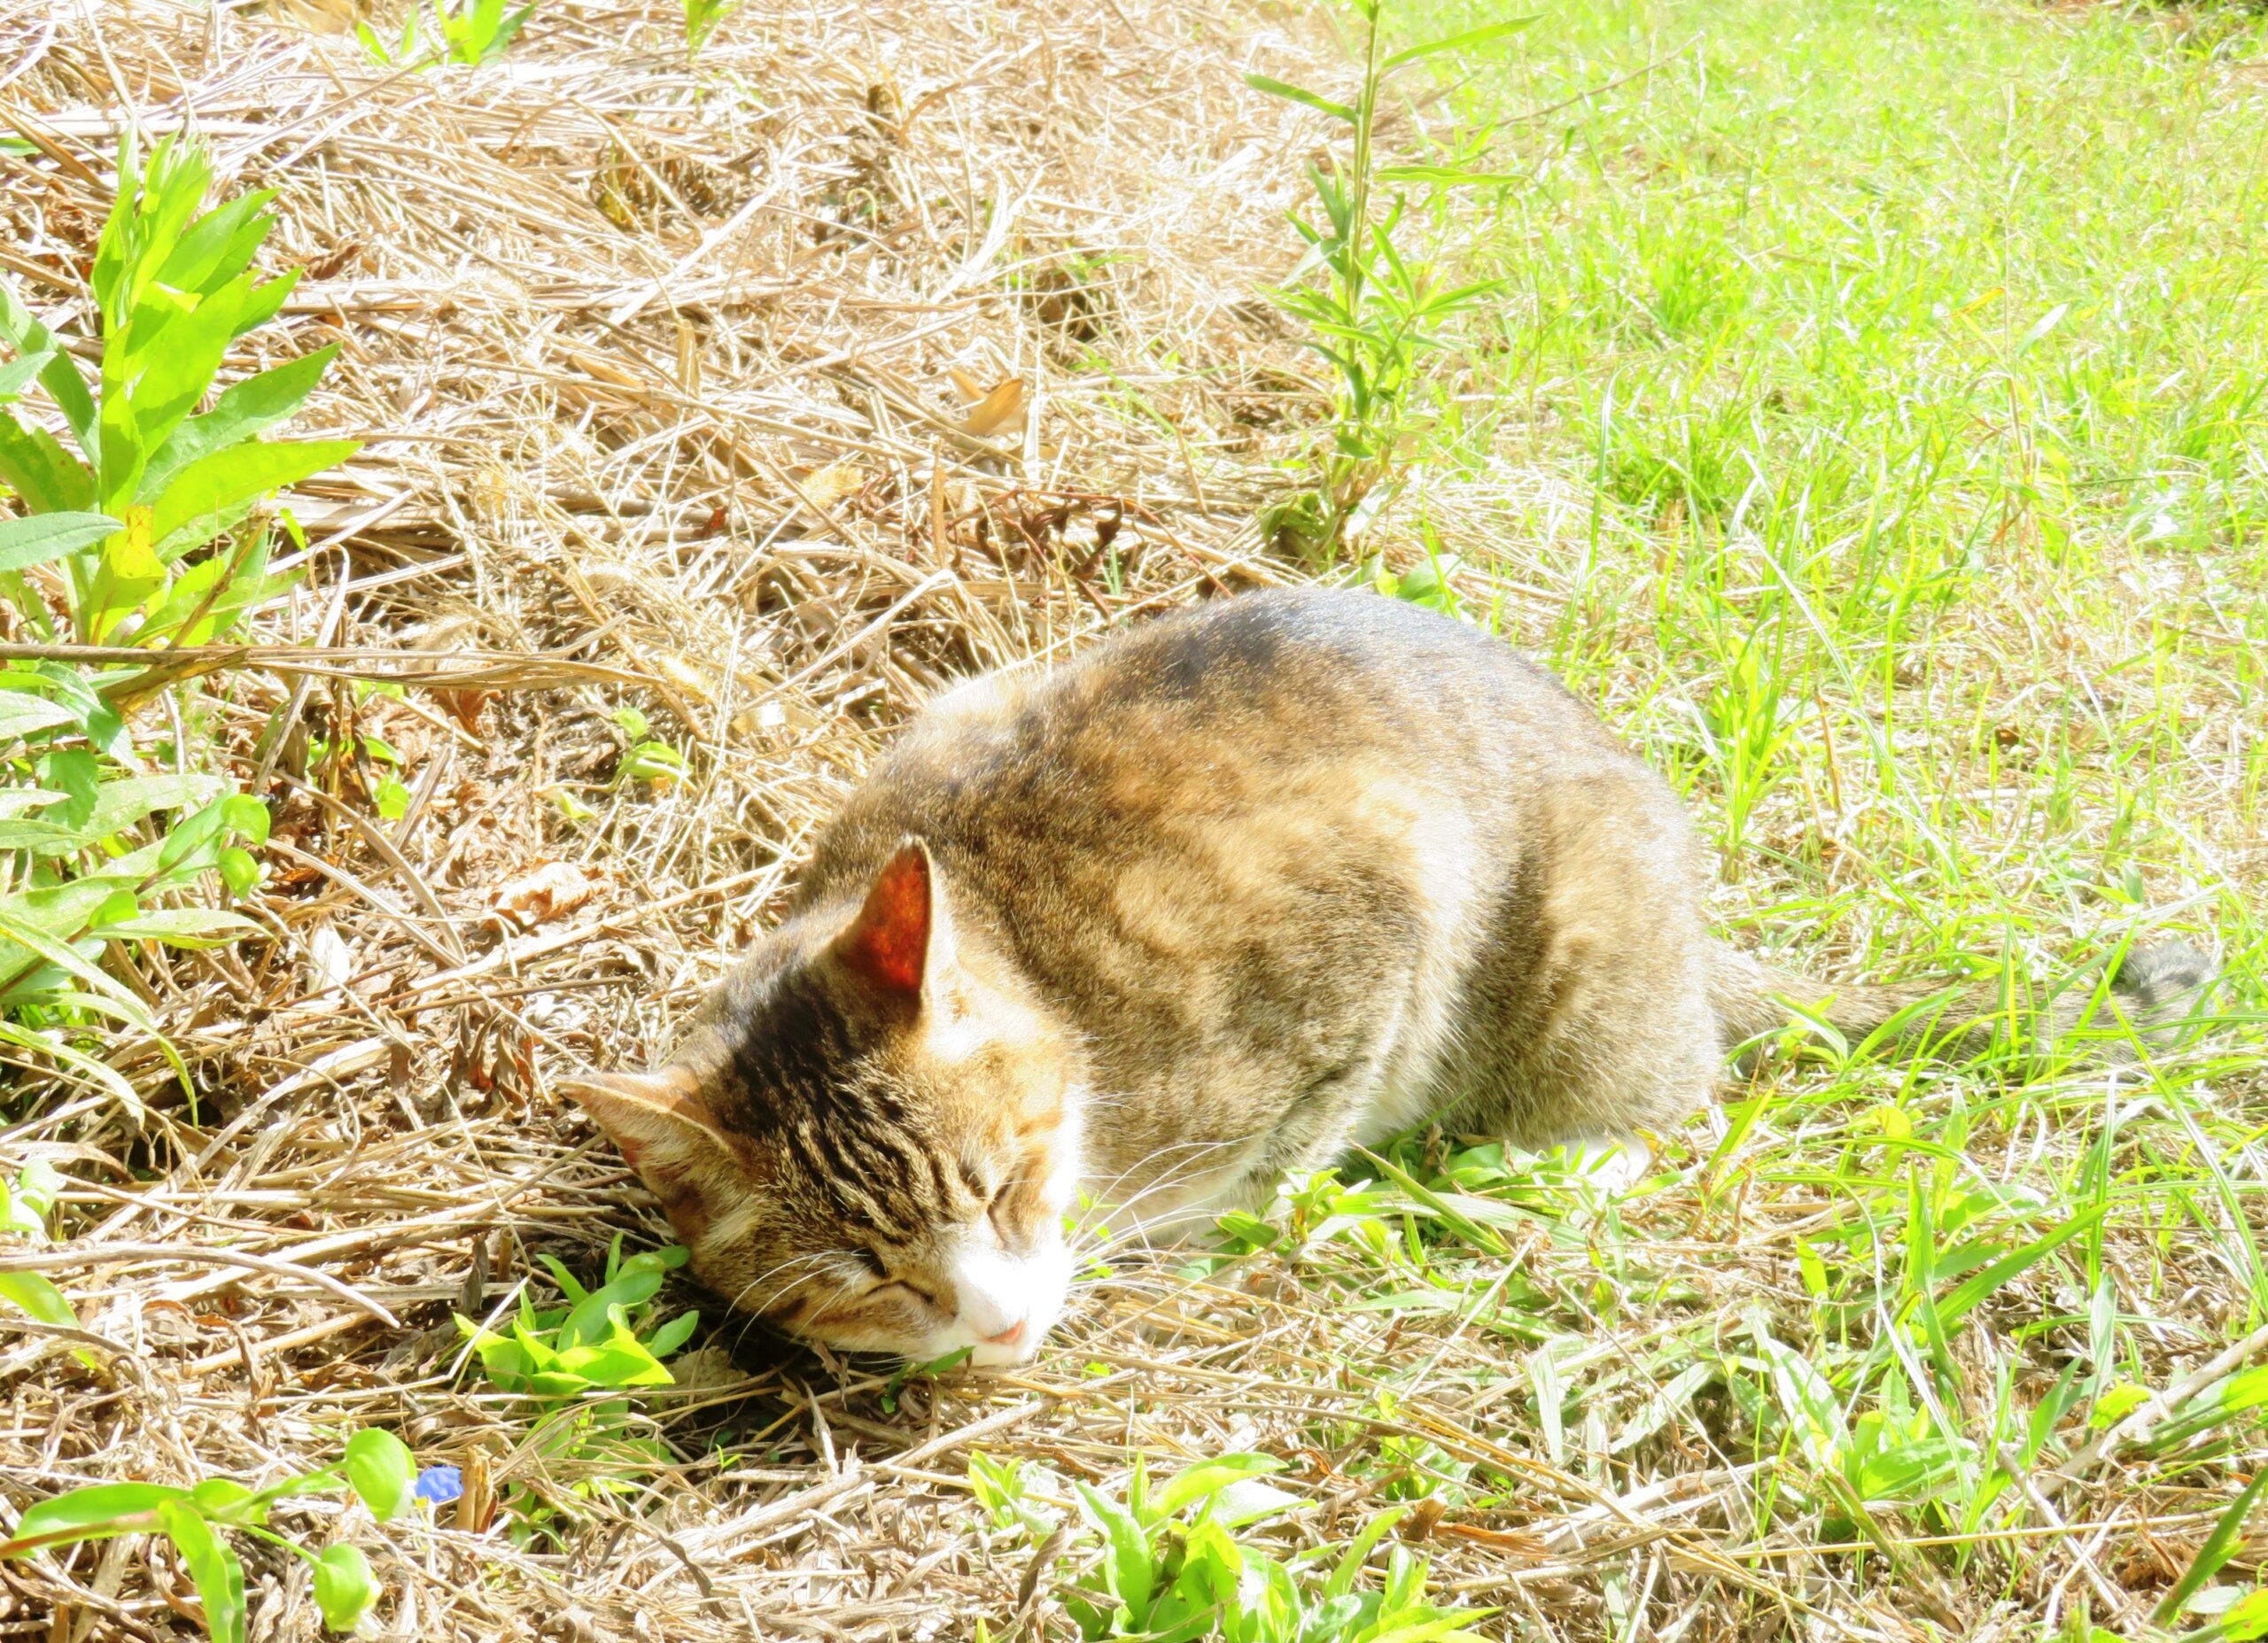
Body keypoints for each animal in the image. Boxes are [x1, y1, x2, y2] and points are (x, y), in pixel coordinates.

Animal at [557, 585, 2204, 1368]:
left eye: (1011, 1186)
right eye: (863, 1278)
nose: (1003, 1322)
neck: (1051, 988)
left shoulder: (1378, 902)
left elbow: (1302, 1134)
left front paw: (1231, 1226)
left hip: (1582, 925)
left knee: (1669, 1097)